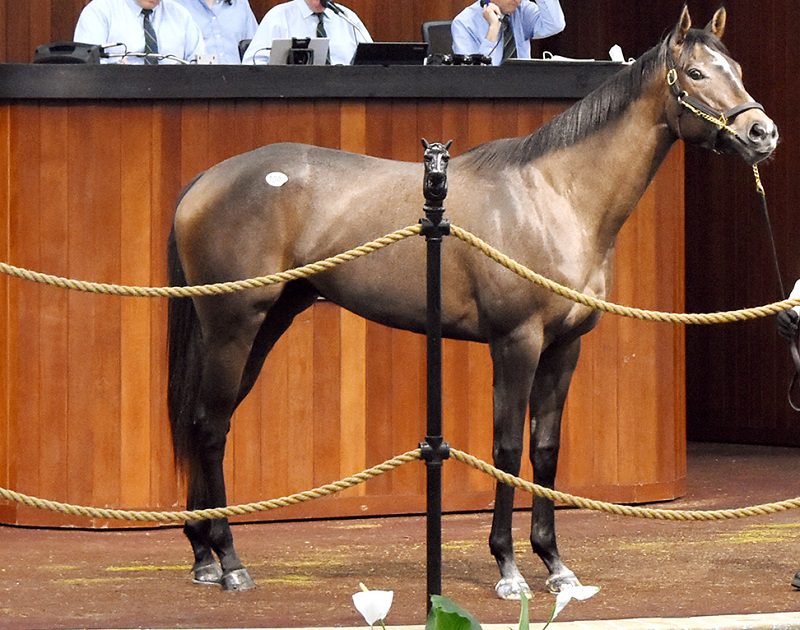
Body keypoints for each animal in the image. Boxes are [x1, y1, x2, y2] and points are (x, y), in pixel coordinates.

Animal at [167, 8, 776, 604]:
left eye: (738, 69)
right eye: (695, 74)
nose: (762, 132)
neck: (553, 196)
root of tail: (206, 179)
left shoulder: (564, 348)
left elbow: (545, 449)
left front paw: (556, 565)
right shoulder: (516, 343)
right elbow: (506, 449)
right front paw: (508, 568)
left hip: (266, 325)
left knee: (204, 419)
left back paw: (203, 555)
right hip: (234, 326)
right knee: (212, 426)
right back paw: (230, 562)